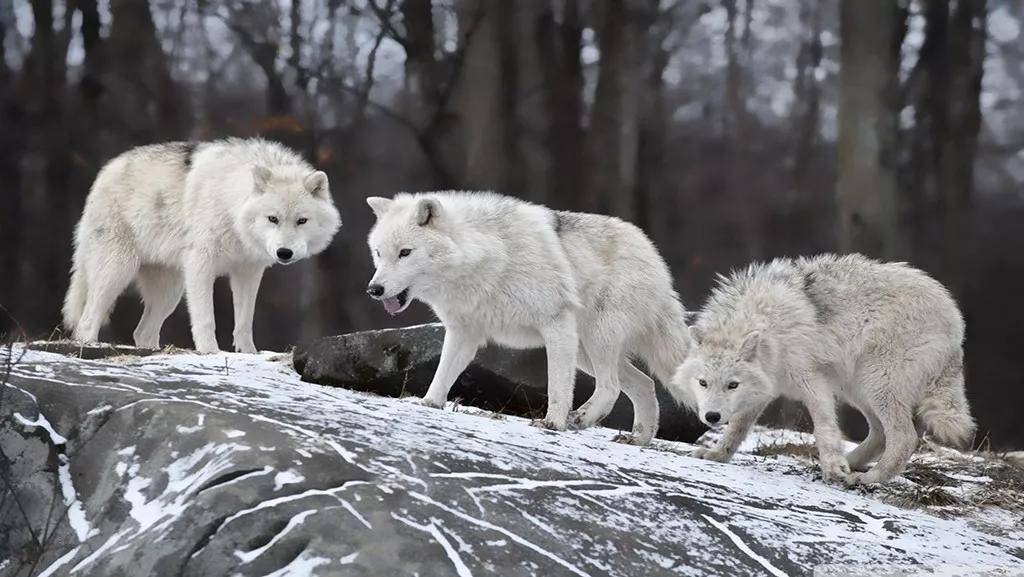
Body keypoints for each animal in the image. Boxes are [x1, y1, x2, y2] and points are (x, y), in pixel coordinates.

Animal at [65, 138, 344, 354]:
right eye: (272, 219)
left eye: (302, 221)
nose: (284, 253)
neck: (230, 204)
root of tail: (106, 171)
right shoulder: (201, 265)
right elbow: (206, 318)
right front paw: (210, 351)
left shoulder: (248, 272)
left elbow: (244, 322)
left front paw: (249, 354)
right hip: (118, 272)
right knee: (87, 320)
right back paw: (89, 345)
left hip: (170, 292)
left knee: (142, 332)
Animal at [364, 191, 692, 444]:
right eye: (379, 253)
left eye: (405, 252)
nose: (374, 289)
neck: (487, 256)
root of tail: (654, 256)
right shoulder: (463, 333)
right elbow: (442, 374)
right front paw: (429, 403)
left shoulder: (556, 324)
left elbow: (557, 386)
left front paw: (553, 423)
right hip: (584, 351)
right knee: (644, 385)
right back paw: (639, 438)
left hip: (594, 340)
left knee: (611, 386)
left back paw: (581, 419)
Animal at [667, 255, 970, 485]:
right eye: (703, 383)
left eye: (732, 385)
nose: (712, 417)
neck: (768, 326)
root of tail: (955, 319)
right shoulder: (765, 388)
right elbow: (738, 428)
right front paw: (717, 454)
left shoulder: (813, 381)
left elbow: (823, 428)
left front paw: (833, 467)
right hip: (857, 389)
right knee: (881, 434)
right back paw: (852, 463)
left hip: (875, 384)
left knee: (905, 438)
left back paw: (868, 478)